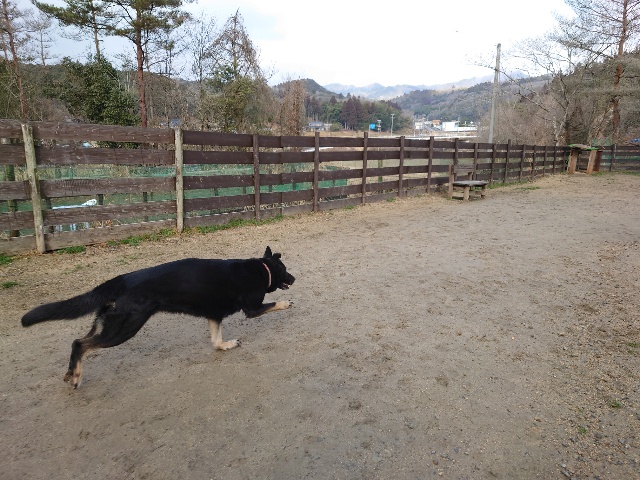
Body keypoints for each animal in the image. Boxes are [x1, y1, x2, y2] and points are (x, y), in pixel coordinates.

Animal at [21, 246, 295, 388]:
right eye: (285, 270)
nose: (294, 279)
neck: (262, 269)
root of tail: (120, 280)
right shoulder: (252, 308)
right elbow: (272, 305)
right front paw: (285, 303)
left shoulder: (213, 314)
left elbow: (216, 340)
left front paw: (225, 345)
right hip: (124, 328)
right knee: (81, 344)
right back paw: (77, 376)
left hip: (108, 322)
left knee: (78, 341)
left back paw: (70, 372)